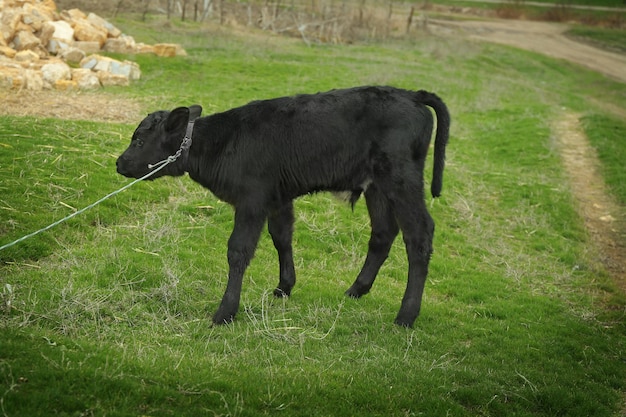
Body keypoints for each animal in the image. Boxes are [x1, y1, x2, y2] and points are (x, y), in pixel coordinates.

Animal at [116, 86, 448, 326]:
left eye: (139, 140)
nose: (119, 163)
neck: (224, 143)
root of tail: (410, 94)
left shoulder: (252, 200)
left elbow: (238, 251)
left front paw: (225, 312)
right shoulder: (278, 198)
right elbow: (281, 238)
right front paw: (284, 287)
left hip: (401, 179)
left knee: (419, 235)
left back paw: (406, 315)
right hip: (376, 186)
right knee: (382, 234)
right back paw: (356, 290)